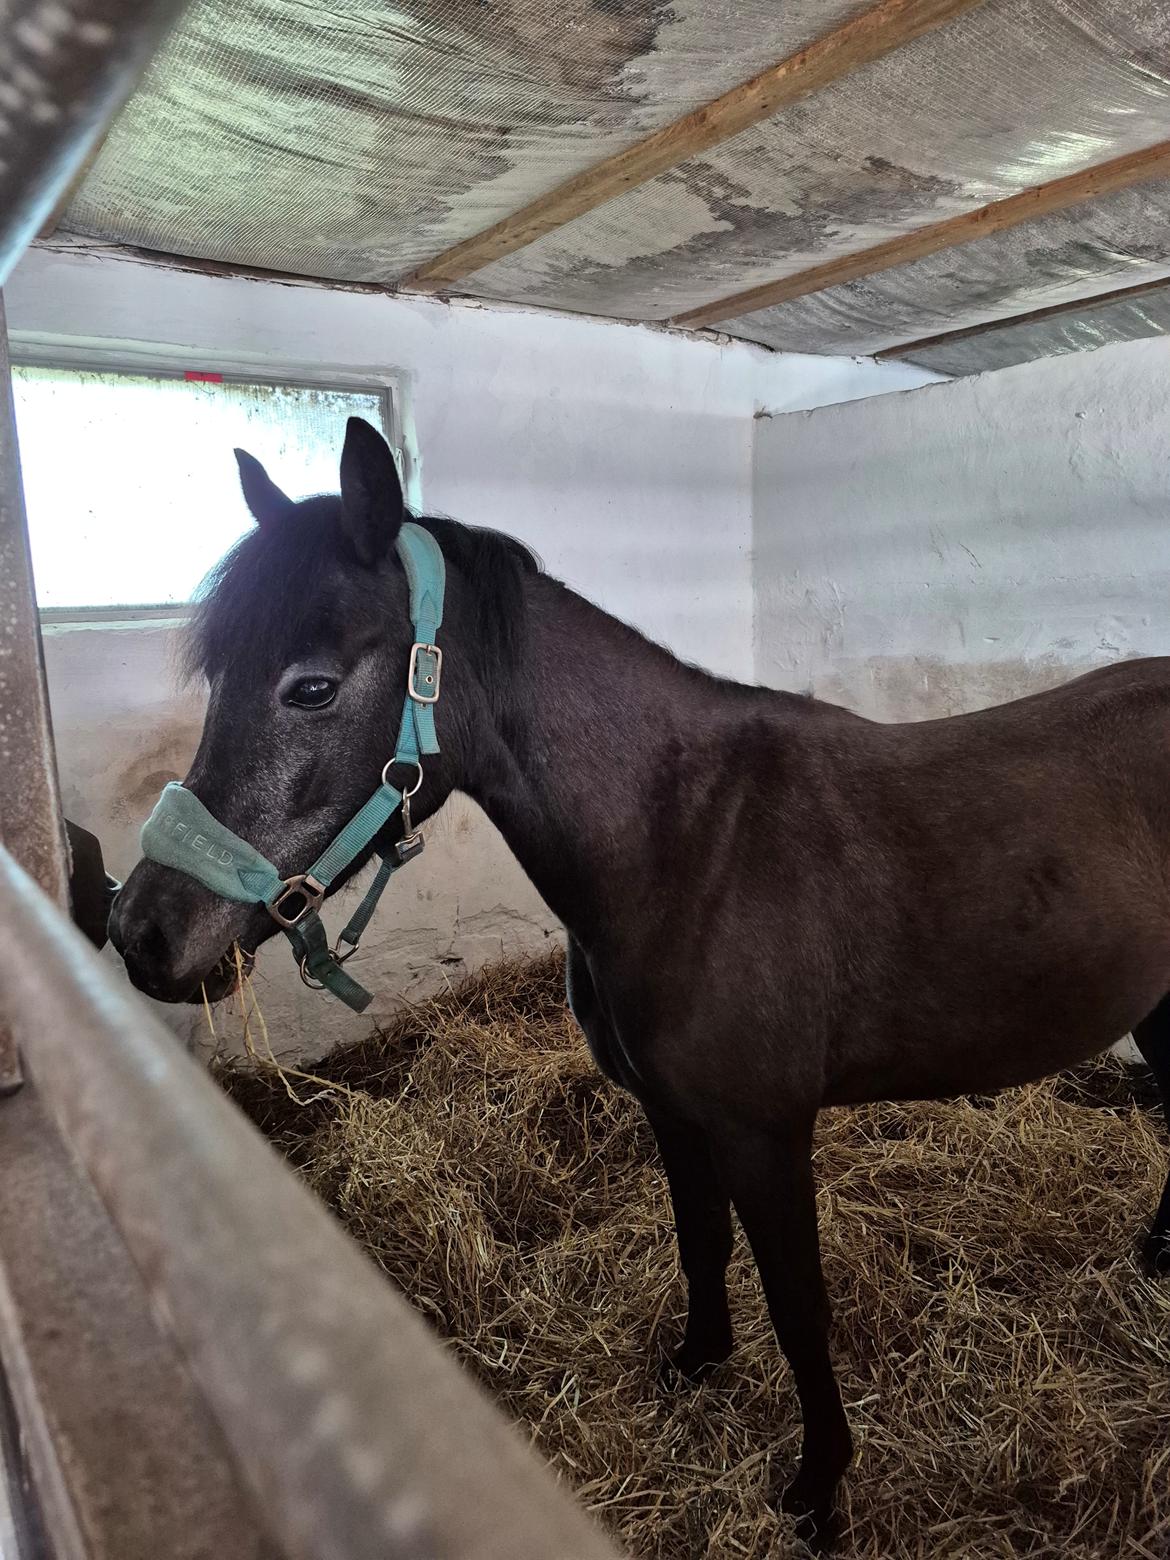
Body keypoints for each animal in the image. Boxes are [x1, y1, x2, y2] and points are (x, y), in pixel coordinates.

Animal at [109, 417, 1170, 1550]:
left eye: (309, 686)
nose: (141, 931)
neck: (689, 843)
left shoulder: (764, 1128)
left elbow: (800, 1304)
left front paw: (818, 1490)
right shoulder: (673, 1110)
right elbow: (699, 1241)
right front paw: (696, 1363)